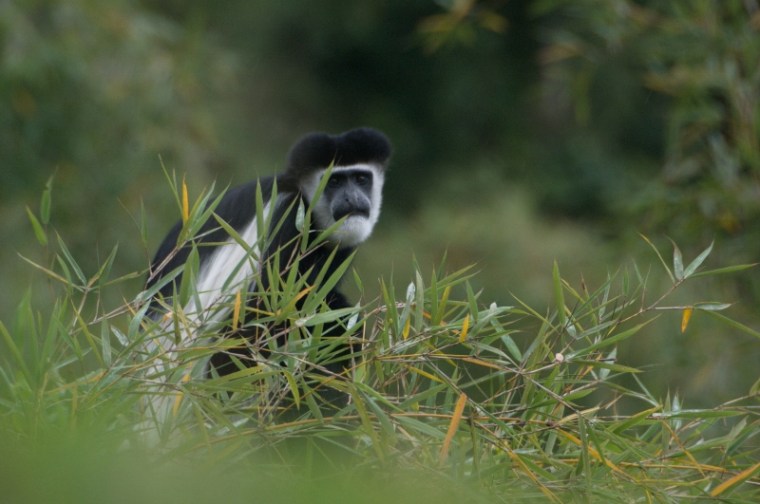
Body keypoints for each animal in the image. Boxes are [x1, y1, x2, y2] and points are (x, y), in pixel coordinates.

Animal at [143, 127, 391, 391]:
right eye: (334, 181)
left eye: (361, 179)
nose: (351, 198)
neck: (305, 205)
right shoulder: (286, 221)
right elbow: (271, 310)